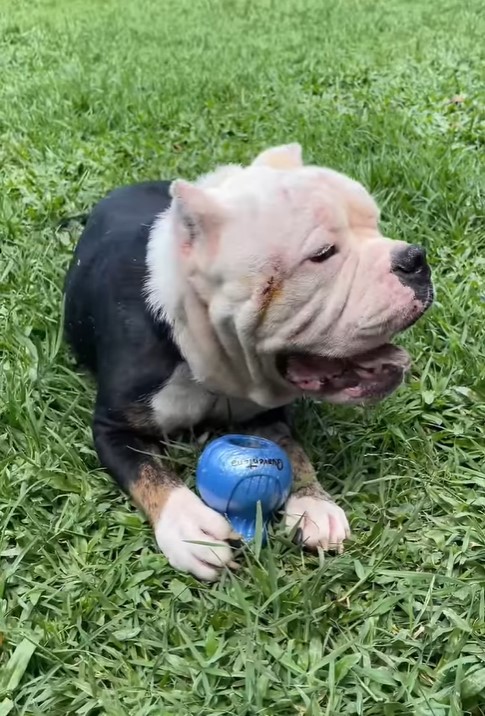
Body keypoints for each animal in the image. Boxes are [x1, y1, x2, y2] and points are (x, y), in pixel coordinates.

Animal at [63, 143, 432, 580]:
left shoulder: (267, 415)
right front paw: (187, 525)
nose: (415, 258)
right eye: (322, 254)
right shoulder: (111, 428)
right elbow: (146, 472)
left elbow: (292, 450)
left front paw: (313, 502)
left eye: (376, 225)